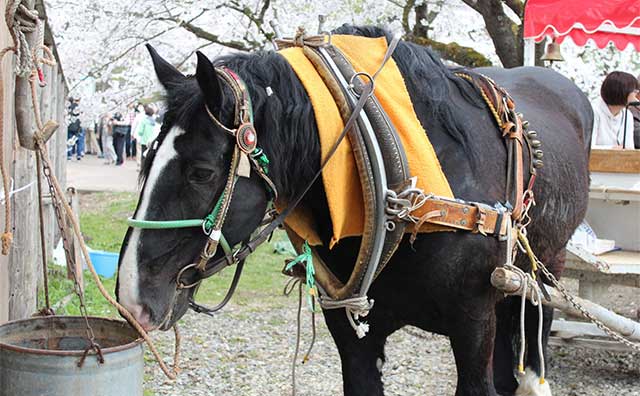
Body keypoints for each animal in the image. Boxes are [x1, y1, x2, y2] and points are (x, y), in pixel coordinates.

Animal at [115, 25, 592, 396]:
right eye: (147, 156)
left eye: (201, 172)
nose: (131, 298)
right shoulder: (354, 337)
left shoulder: (474, 327)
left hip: (546, 265)